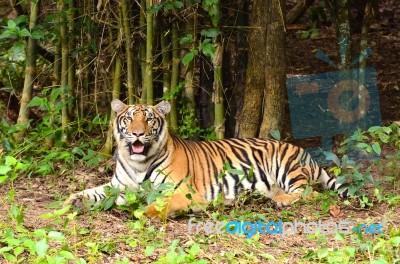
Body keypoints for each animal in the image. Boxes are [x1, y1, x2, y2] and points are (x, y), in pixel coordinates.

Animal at [64, 99, 348, 219]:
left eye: (149, 119)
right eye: (130, 118)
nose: (137, 133)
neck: (138, 163)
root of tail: (306, 154)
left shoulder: (183, 192)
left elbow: (161, 204)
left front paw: (144, 212)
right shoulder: (119, 186)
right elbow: (92, 192)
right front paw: (70, 201)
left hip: (287, 167)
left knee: (311, 193)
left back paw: (282, 200)